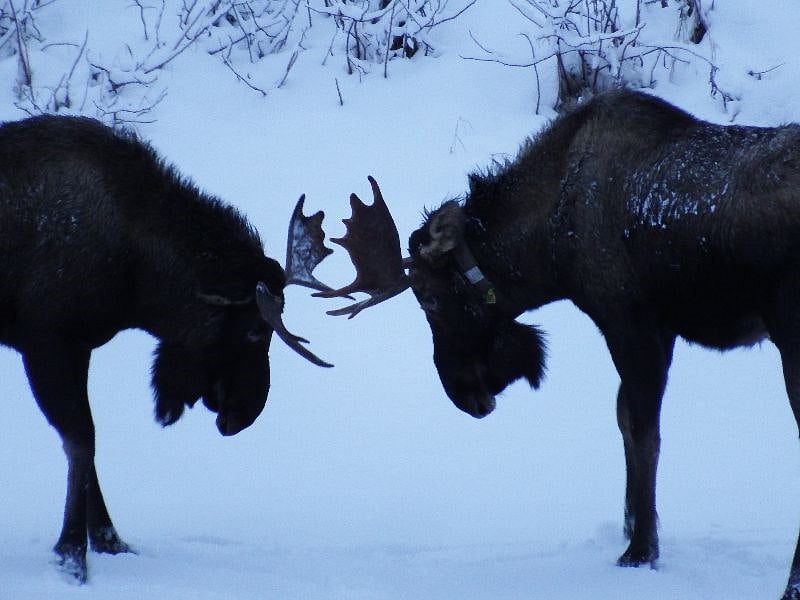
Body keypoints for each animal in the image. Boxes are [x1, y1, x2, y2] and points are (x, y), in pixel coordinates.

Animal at [0, 114, 333, 583]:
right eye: (255, 330)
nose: (246, 414)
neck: (137, 281)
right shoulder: (48, 340)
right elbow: (81, 440)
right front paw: (72, 554)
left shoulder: (79, 345)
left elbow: (89, 442)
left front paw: (109, 540)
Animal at [318, 90, 800, 599]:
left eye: (429, 298)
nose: (463, 395)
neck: (547, 246)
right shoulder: (650, 332)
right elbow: (625, 423)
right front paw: (631, 531)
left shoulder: (632, 323)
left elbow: (641, 432)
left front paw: (640, 550)